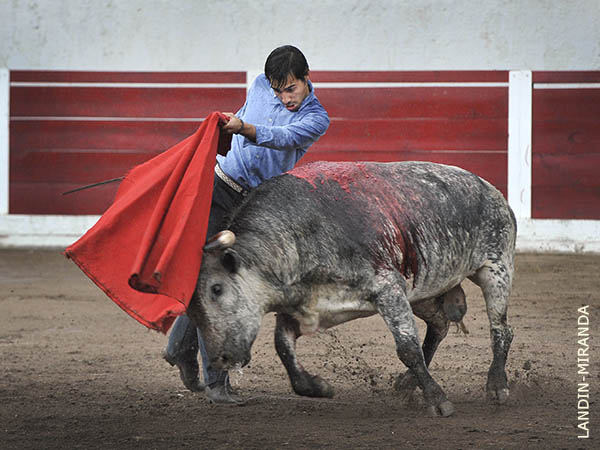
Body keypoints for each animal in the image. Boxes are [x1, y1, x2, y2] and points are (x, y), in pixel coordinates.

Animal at [188, 160, 516, 416]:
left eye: (216, 289)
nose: (219, 359)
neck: (300, 233)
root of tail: (491, 190)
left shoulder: (388, 288)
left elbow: (407, 348)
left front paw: (438, 401)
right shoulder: (305, 308)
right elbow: (282, 347)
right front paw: (318, 386)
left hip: (496, 268)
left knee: (501, 329)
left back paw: (497, 386)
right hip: (423, 288)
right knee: (440, 324)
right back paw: (408, 382)